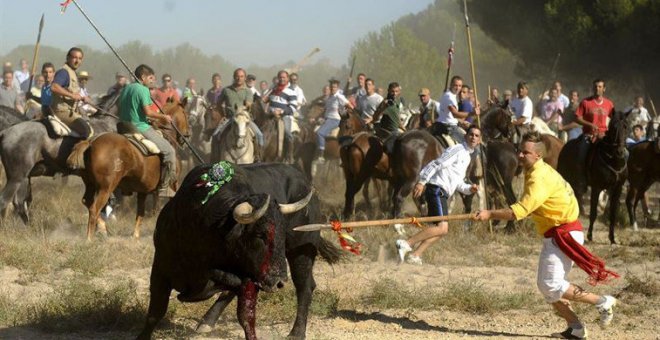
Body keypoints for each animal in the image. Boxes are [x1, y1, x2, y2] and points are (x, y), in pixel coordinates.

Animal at [67, 99, 191, 240]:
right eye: (185, 113)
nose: (188, 134)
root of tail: (91, 142)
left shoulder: (143, 190)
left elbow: (140, 213)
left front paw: (135, 235)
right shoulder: (173, 184)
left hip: (91, 184)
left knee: (87, 202)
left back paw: (103, 229)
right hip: (106, 188)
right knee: (94, 208)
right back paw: (89, 238)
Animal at [140, 163, 346, 338]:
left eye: (282, 234)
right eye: (260, 235)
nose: (279, 280)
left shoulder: (247, 277)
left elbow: (245, 314)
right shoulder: (160, 269)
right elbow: (155, 313)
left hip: (300, 254)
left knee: (305, 287)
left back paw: (296, 333)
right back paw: (207, 321)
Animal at [556, 113, 628, 243]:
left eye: (626, 126)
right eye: (614, 128)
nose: (620, 151)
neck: (613, 160)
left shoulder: (617, 189)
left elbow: (613, 214)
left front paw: (612, 238)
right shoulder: (596, 187)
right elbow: (593, 213)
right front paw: (589, 236)